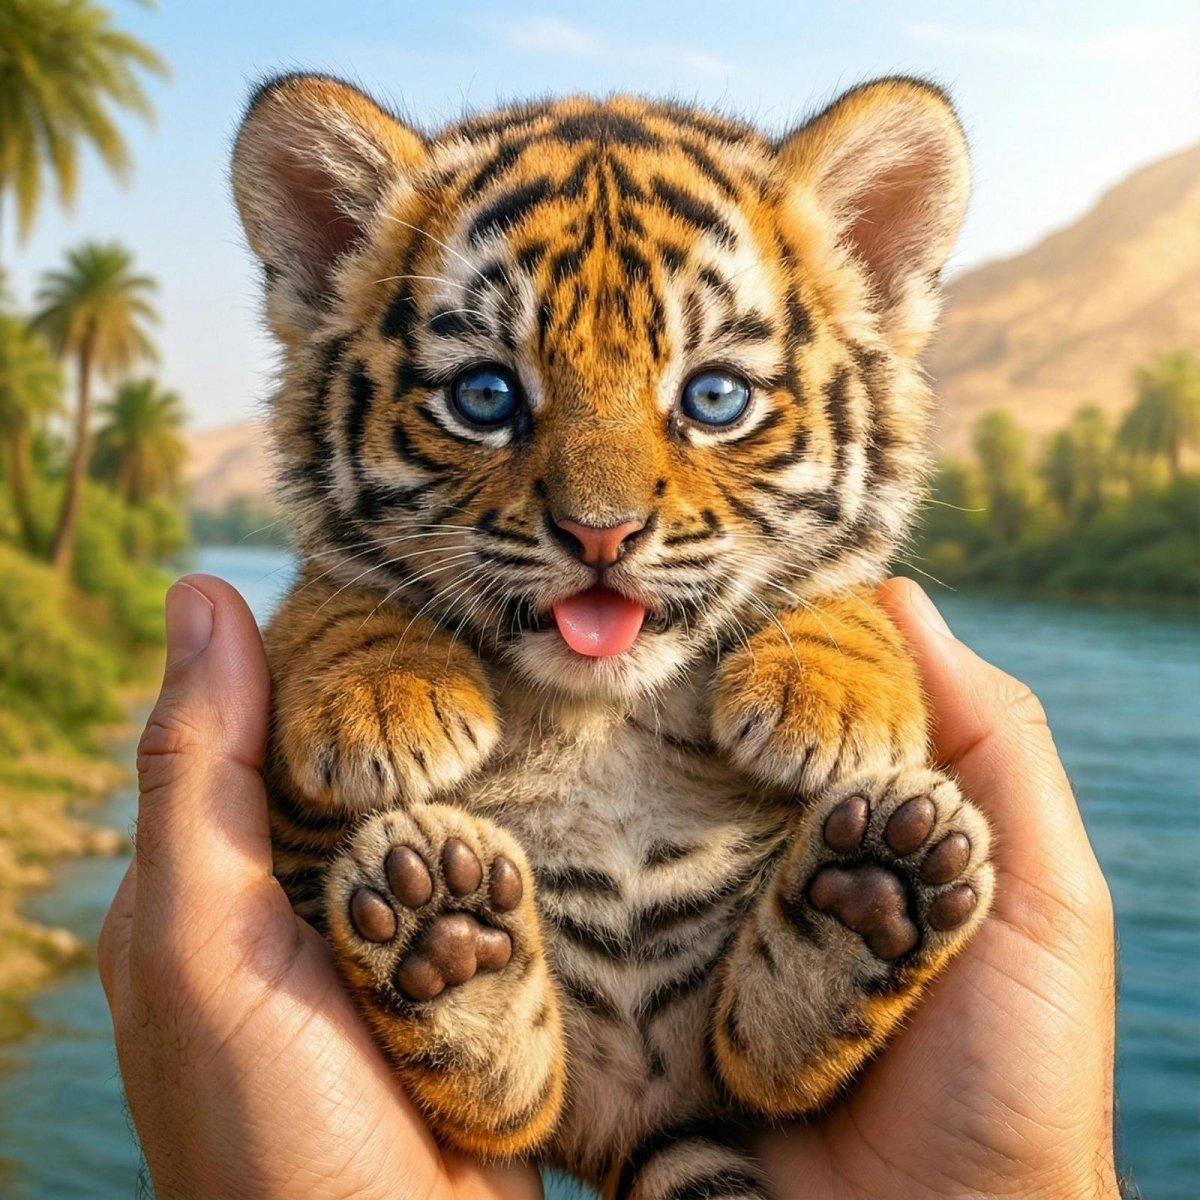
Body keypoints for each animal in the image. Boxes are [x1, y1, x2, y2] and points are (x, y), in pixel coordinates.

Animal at [230, 72, 995, 1199]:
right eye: (486, 396)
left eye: (714, 397)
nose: (601, 533)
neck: (602, 710)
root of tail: (634, 1109)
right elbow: (327, 593)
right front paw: (384, 702)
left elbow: (848, 585)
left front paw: (833, 697)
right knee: (514, 1098)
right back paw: (441, 926)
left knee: (763, 1061)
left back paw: (879, 885)